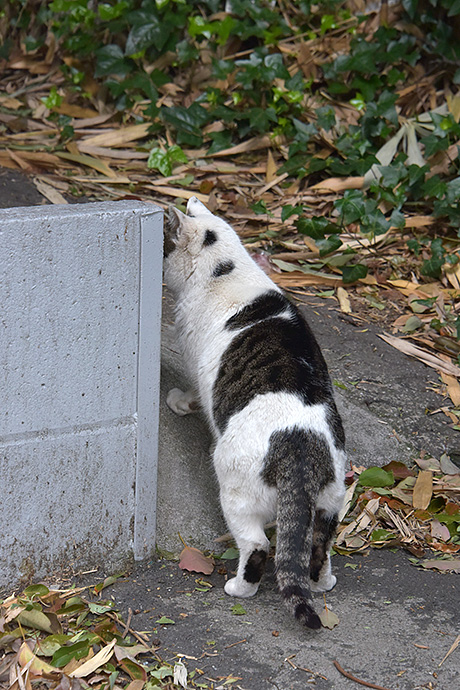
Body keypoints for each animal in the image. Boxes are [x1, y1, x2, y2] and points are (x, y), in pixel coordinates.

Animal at [164, 196, 346, 628]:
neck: (226, 272)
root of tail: (301, 446)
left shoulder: (197, 368)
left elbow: (194, 394)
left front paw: (178, 402)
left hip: (234, 490)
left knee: (259, 546)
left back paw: (239, 587)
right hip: (330, 503)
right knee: (319, 547)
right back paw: (323, 583)